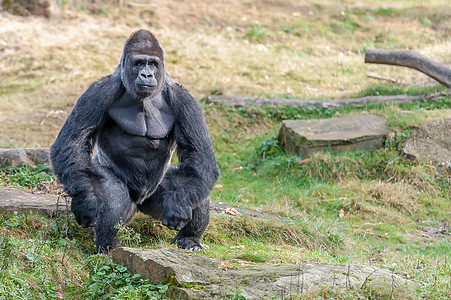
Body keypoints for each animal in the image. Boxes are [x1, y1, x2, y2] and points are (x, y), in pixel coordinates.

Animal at [51, 29, 221, 253]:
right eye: (139, 63)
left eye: (153, 64)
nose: (147, 74)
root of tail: (139, 205)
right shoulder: (98, 92)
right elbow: (73, 142)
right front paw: (85, 202)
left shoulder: (184, 99)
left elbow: (198, 154)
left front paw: (181, 206)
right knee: (113, 200)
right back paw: (108, 247)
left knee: (194, 182)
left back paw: (189, 239)